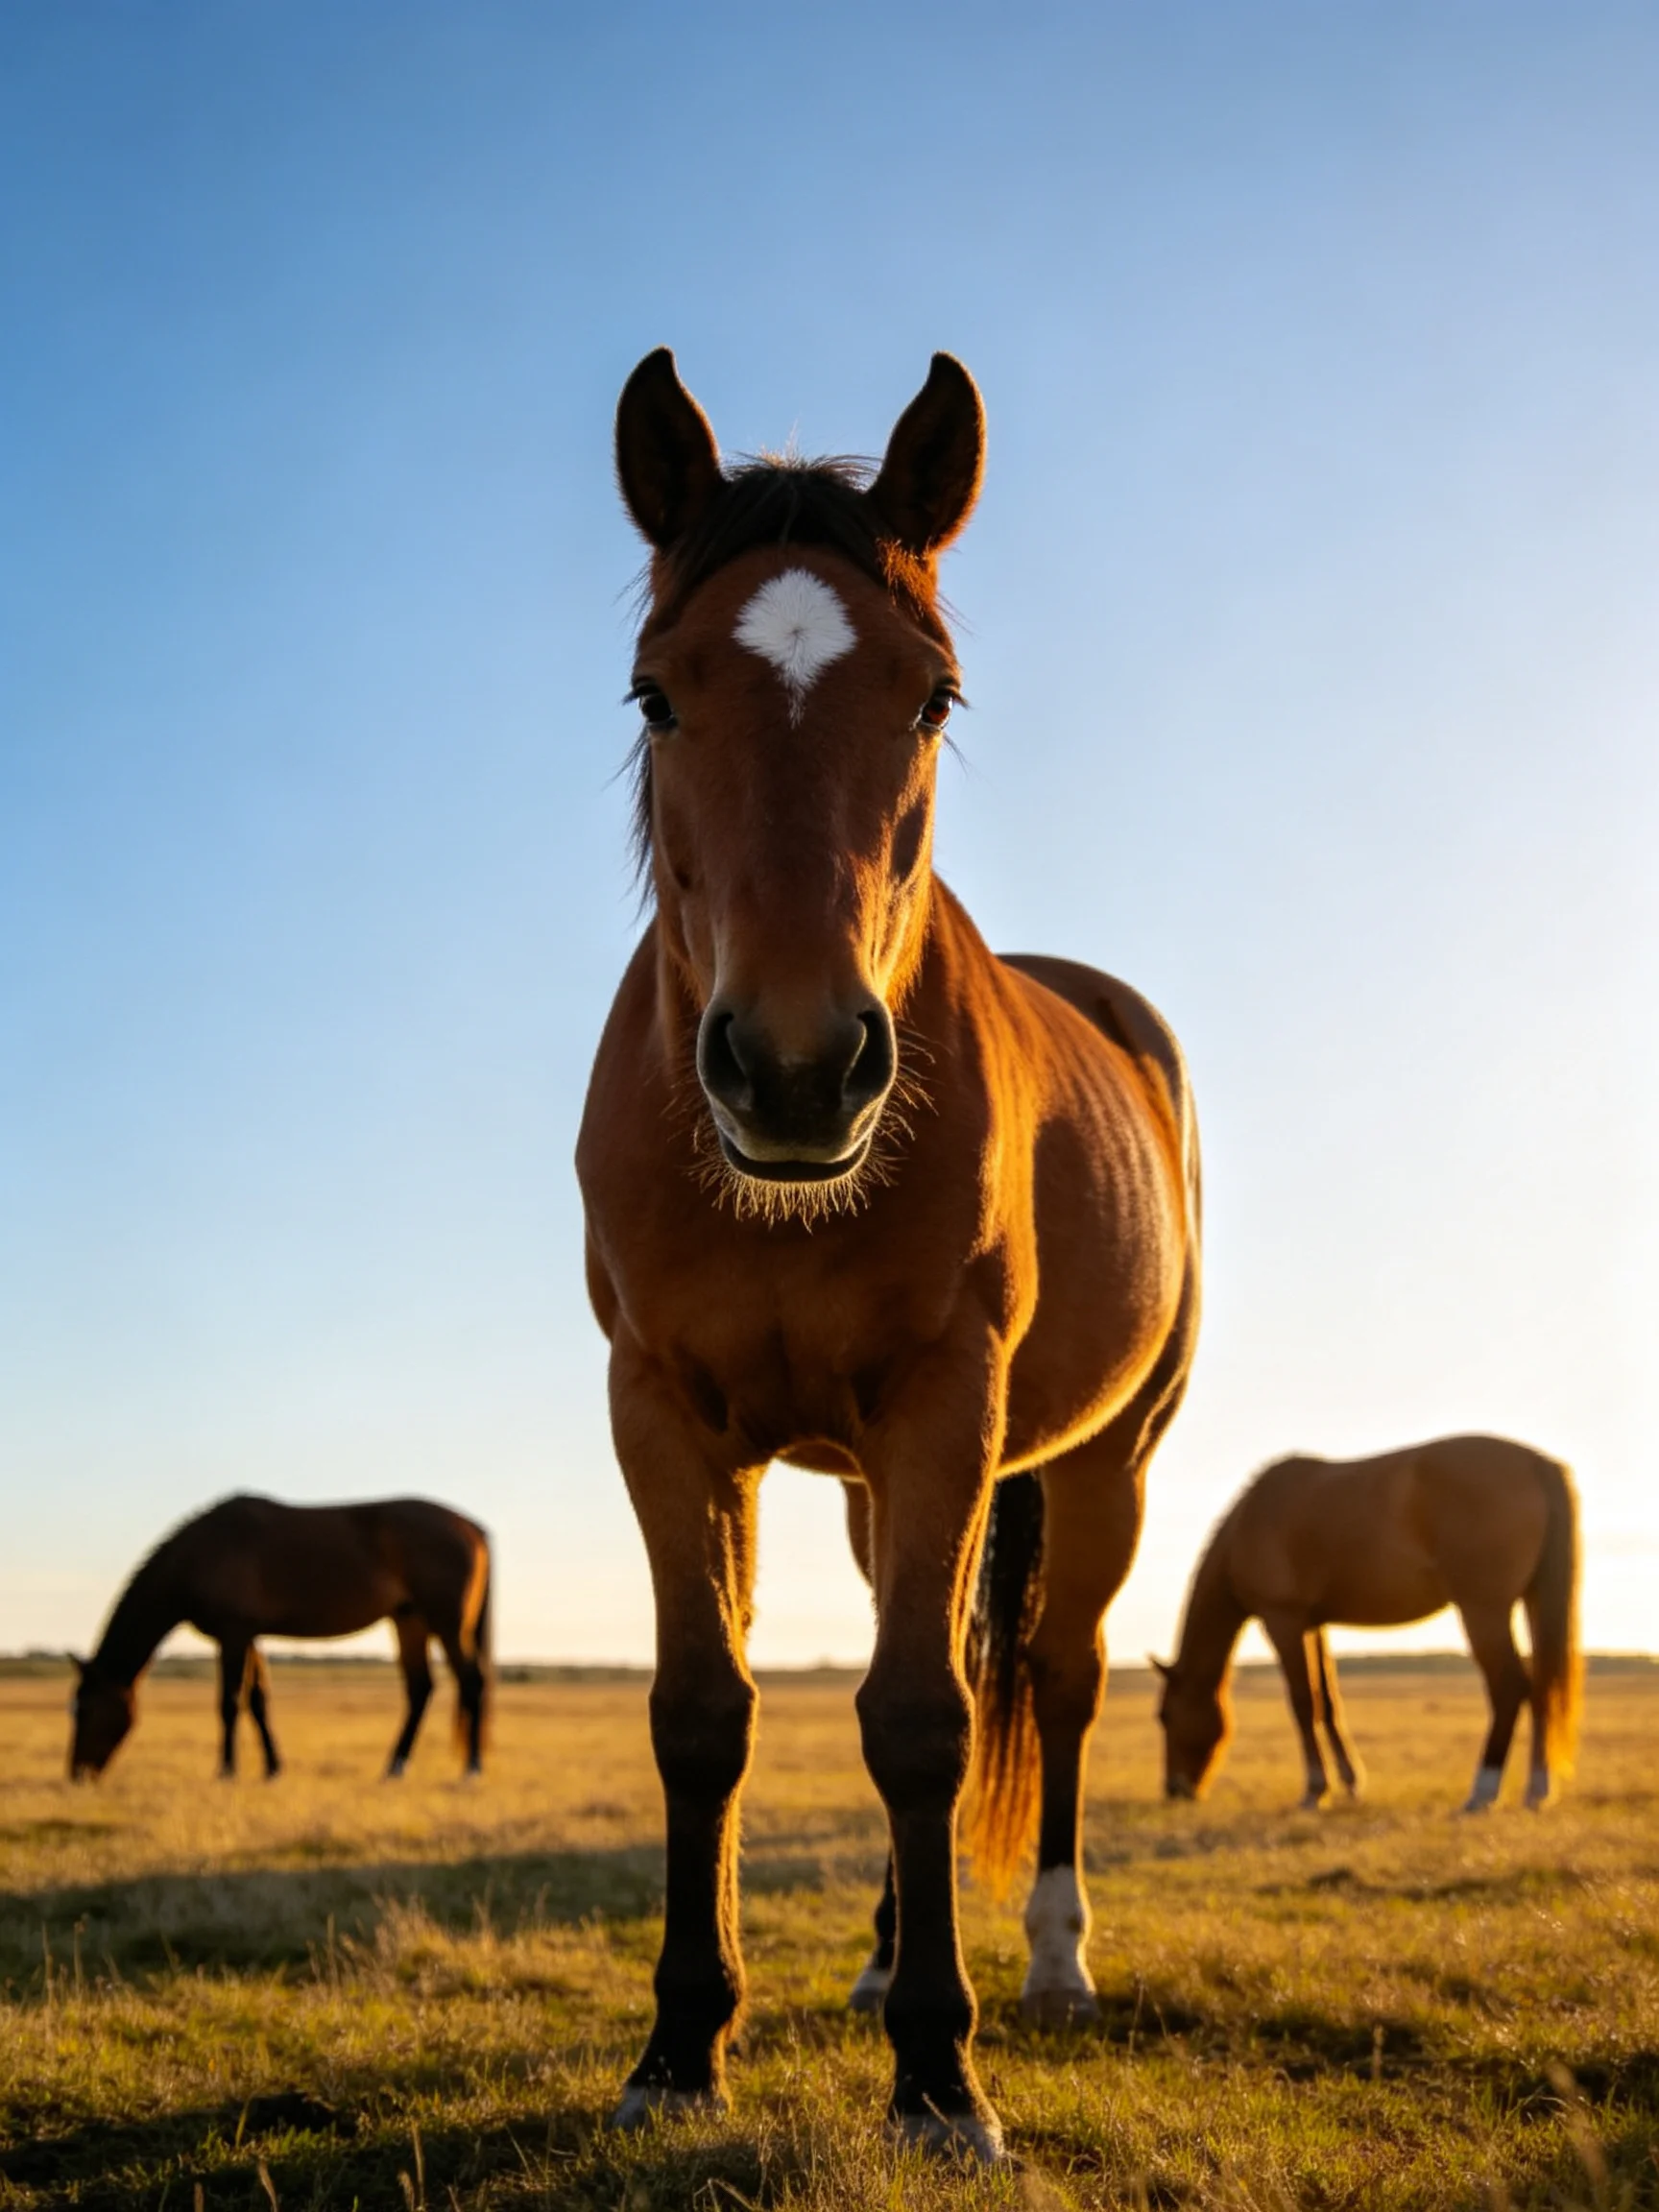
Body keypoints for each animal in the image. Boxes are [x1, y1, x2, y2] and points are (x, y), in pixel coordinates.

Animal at [68, 1495, 492, 1781]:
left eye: (85, 1709)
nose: (76, 1773)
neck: (202, 1554)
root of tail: (470, 1526)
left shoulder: (233, 1635)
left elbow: (229, 1702)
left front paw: (226, 1770)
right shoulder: (249, 1636)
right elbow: (258, 1700)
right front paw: (272, 1768)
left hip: (447, 1623)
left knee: (471, 1681)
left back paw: (471, 1768)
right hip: (410, 1620)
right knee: (421, 1688)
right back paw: (395, 1766)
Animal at [576, 348, 1201, 2161]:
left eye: (932, 699)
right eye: (654, 695)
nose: (795, 1068)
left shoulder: (947, 1412)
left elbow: (925, 1720)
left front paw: (941, 2074)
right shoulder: (662, 1416)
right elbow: (704, 1713)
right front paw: (678, 2047)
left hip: (1105, 1462)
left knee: (1052, 1677)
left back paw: (1051, 1959)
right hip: (870, 1485)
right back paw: (870, 1956)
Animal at [1154, 1435, 1580, 1812]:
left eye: (1165, 1715)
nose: (1175, 1790)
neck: (1251, 1521)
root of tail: (1536, 1463)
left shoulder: (1283, 1620)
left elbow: (1303, 1702)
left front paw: (1315, 1791)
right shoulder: (1313, 1625)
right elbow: (1328, 1702)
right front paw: (1351, 1784)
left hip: (1483, 1609)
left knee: (1509, 1688)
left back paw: (1482, 1794)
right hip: (1533, 1600)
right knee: (1543, 1688)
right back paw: (1537, 1791)